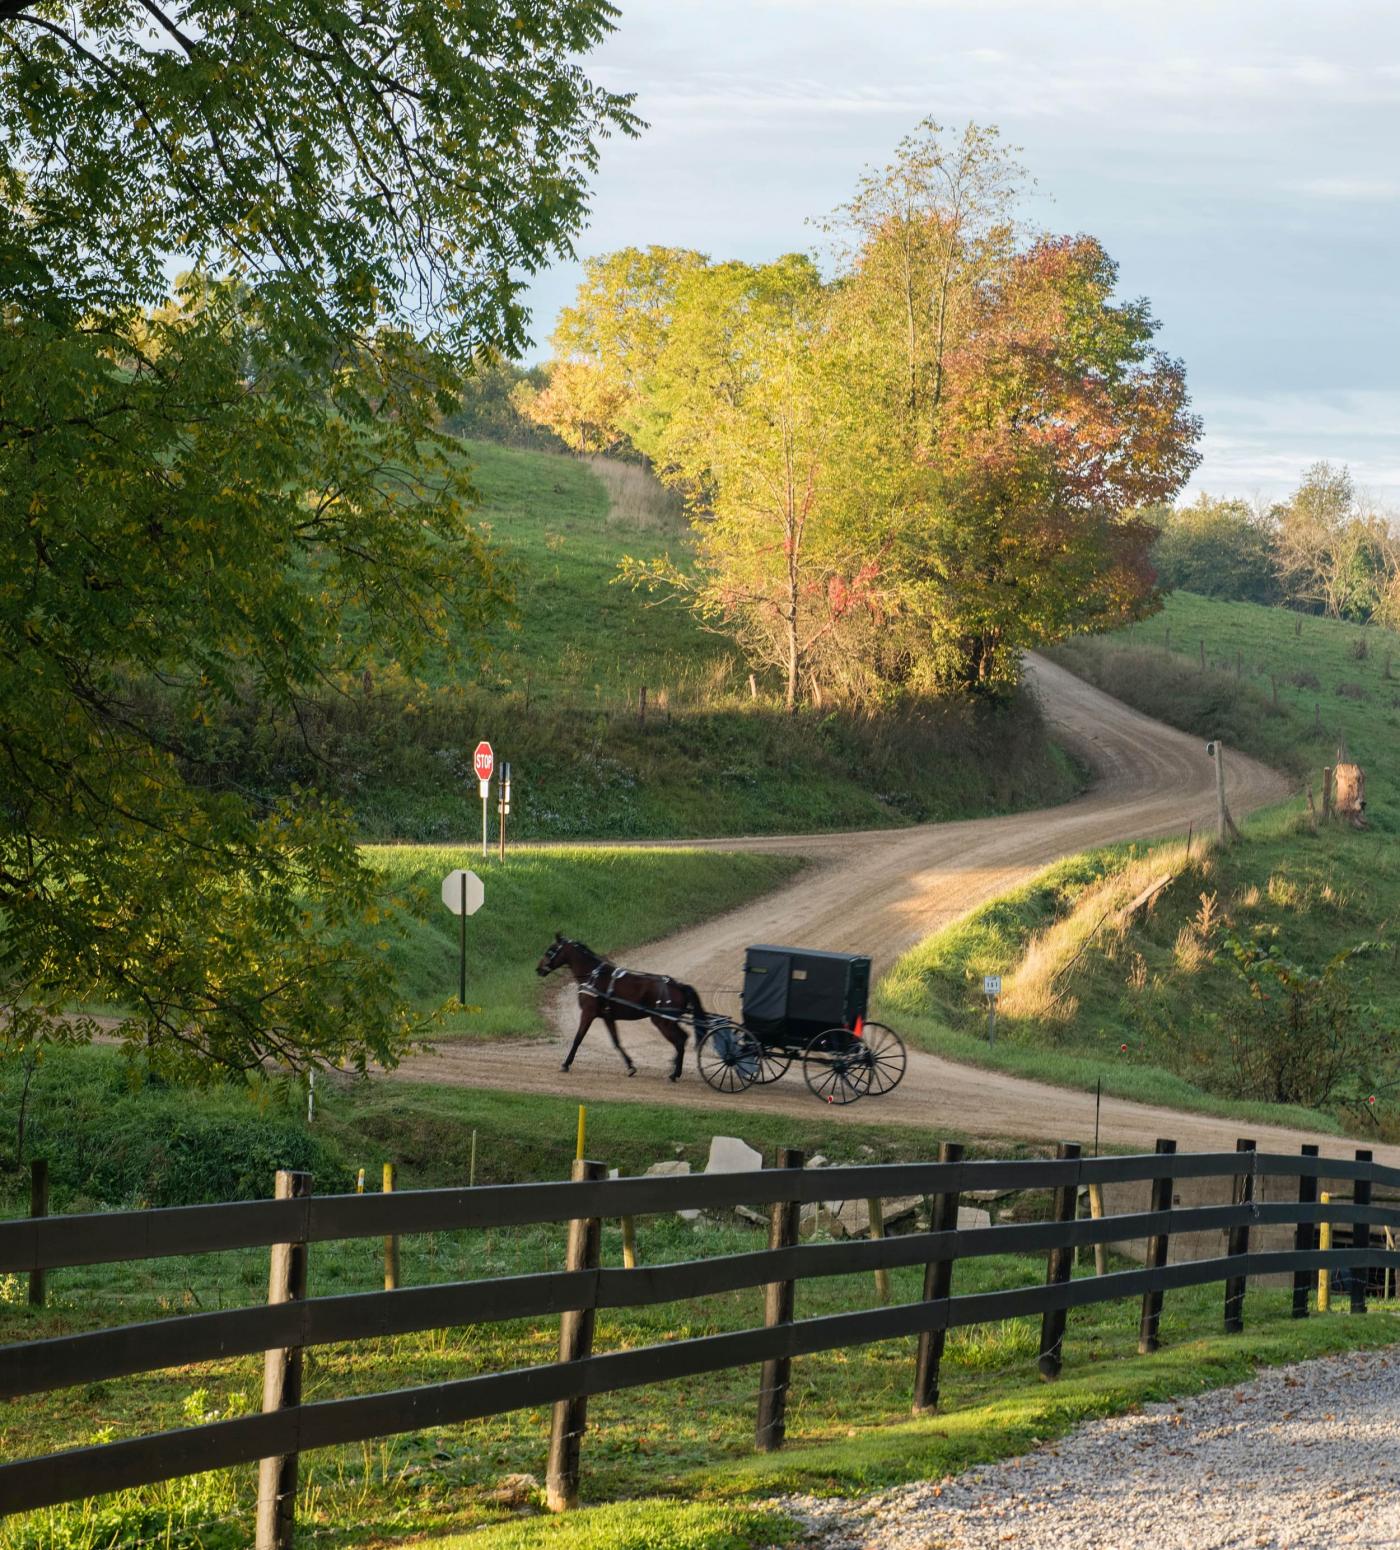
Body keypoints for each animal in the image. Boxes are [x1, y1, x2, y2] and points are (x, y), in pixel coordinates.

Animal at [536, 930, 713, 1078]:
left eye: (551, 950)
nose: (538, 969)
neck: (593, 976)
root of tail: (678, 985)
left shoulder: (588, 1012)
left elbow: (578, 1038)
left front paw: (566, 1064)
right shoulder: (607, 1017)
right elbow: (616, 1041)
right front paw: (630, 1066)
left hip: (662, 1021)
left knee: (680, 1041)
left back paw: (675, 1073)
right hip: (667, 1021)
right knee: (683, 1038)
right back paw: (674, 1067)